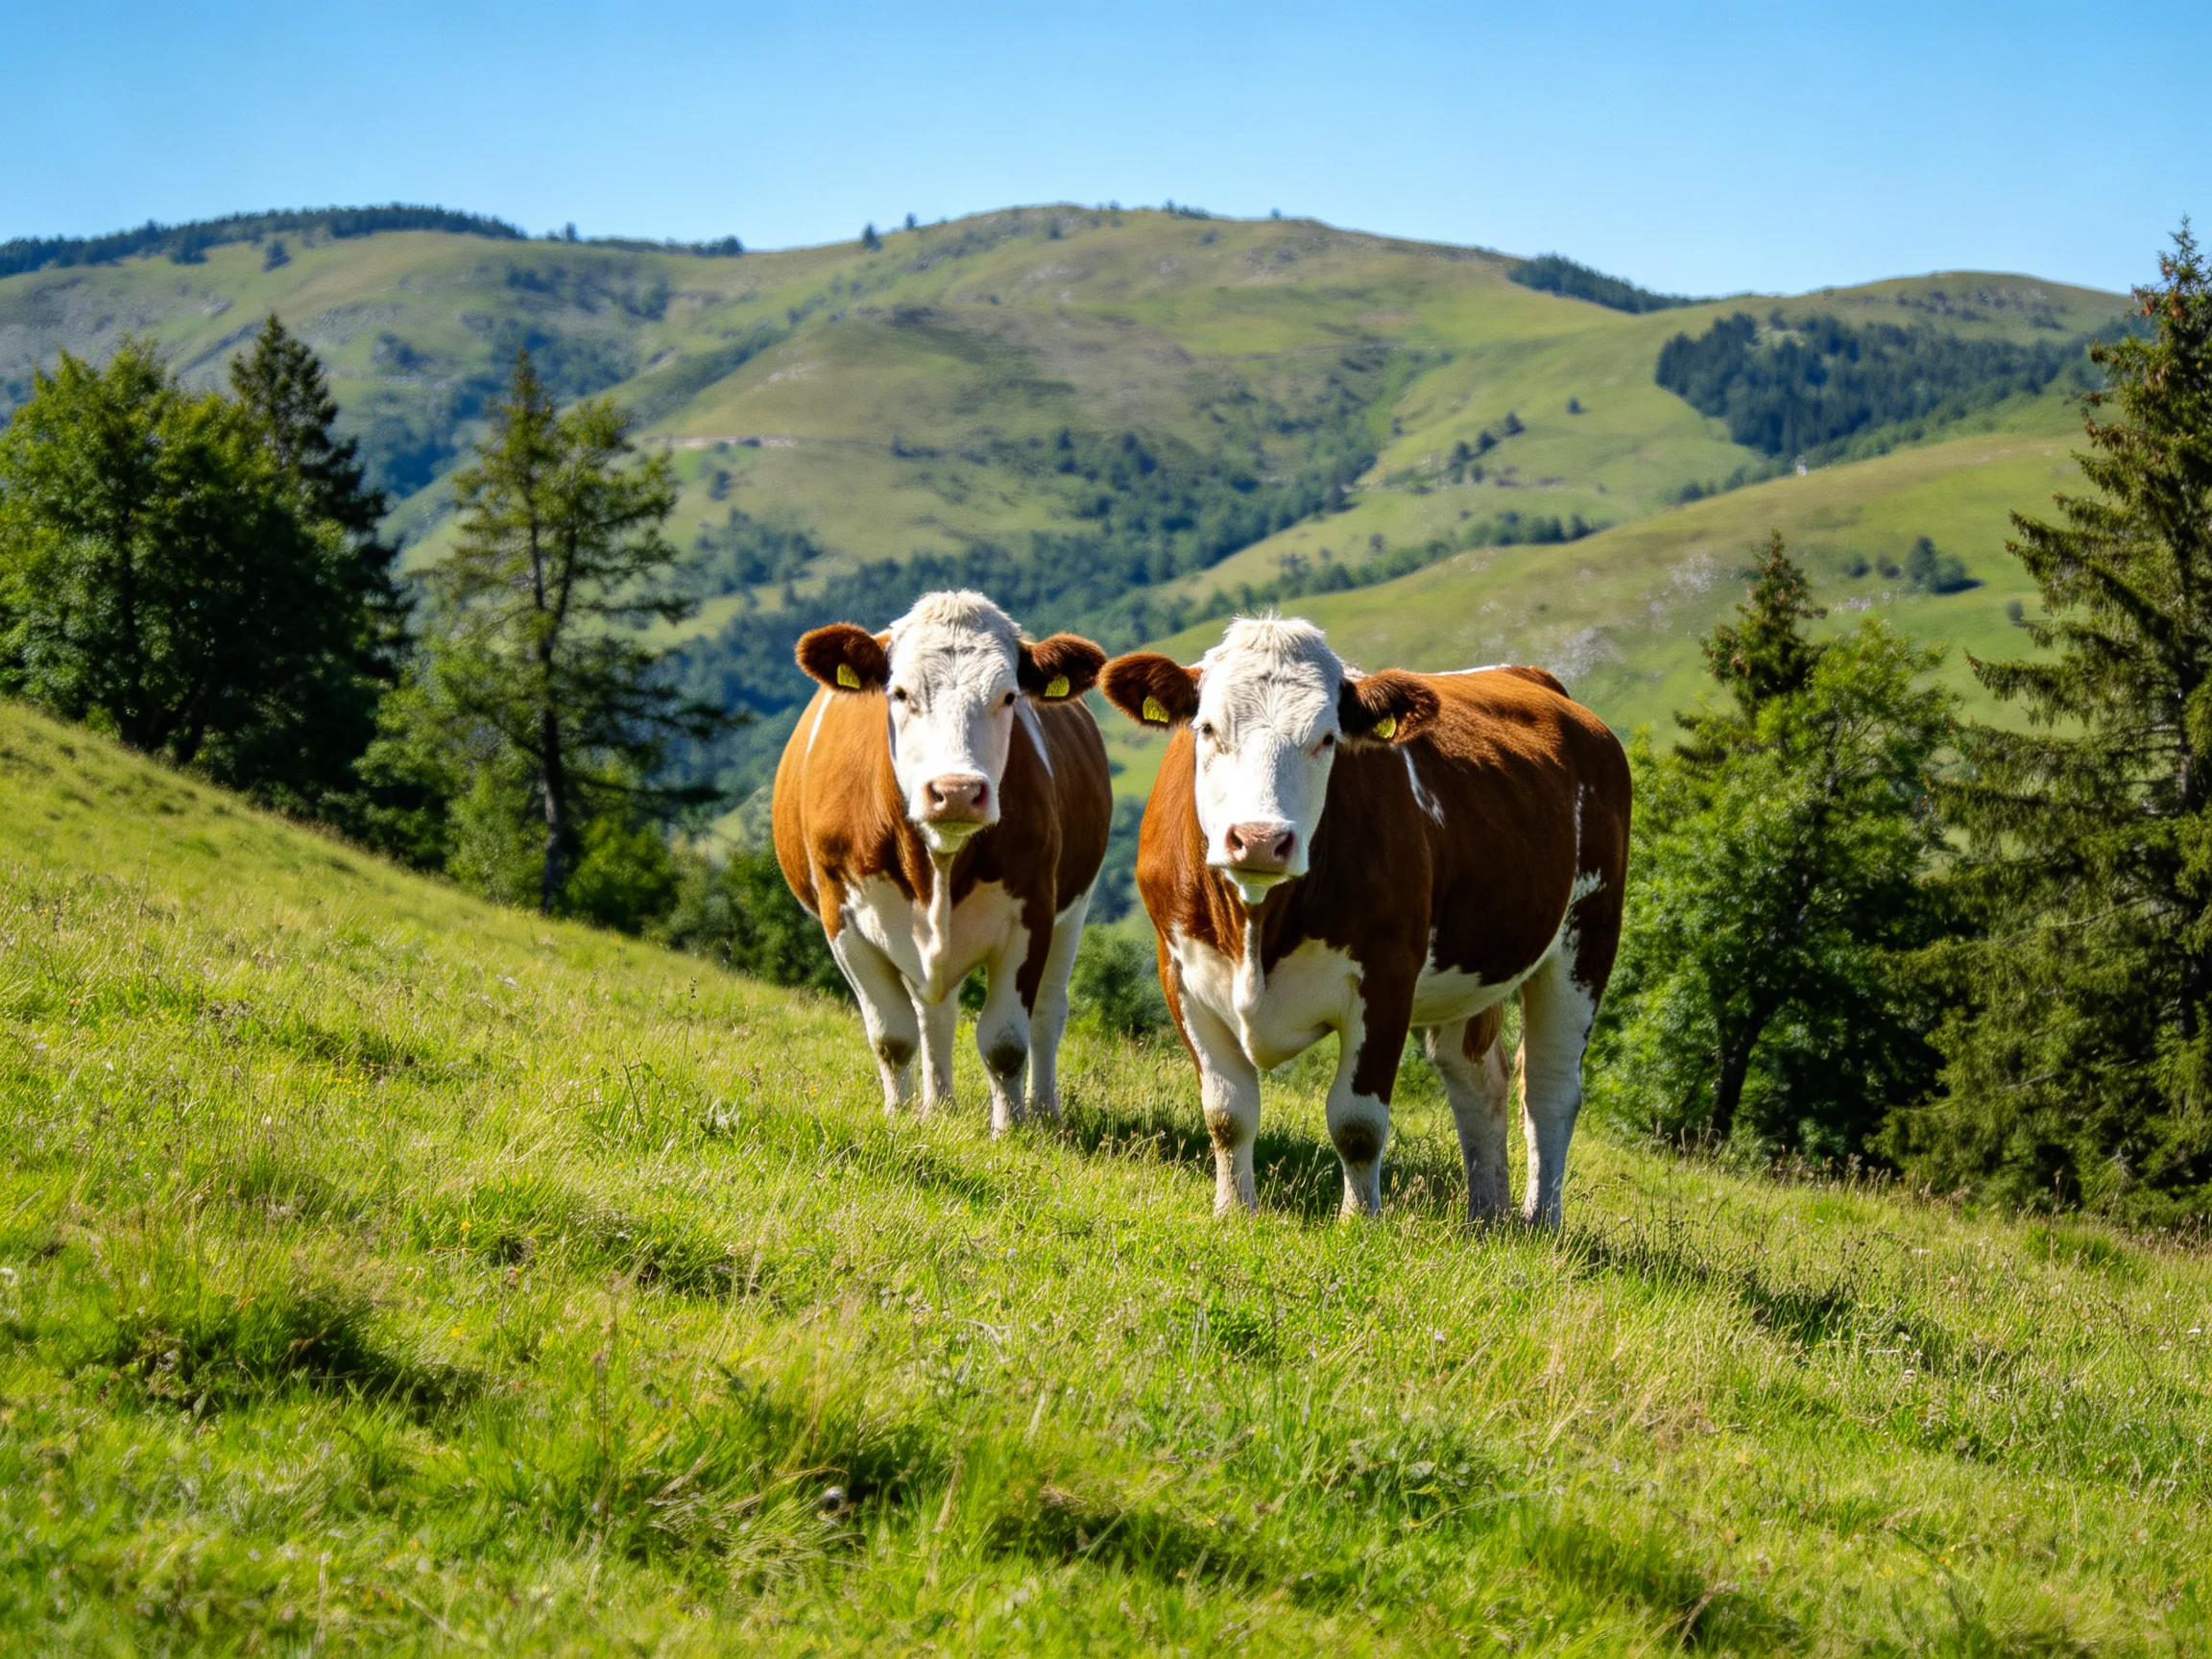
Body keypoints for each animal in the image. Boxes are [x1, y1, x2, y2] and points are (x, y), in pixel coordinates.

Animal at [773, 591, 1112, 1133]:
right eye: (900, 693)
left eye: (1009, 697)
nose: (956, 791)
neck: (937, 860)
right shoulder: (841, 918)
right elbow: (892, 1036)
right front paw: (899, 1115)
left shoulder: (1033, 912)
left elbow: (1005, 1042)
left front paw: (1010, 1130)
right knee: (934, 1012)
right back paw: (939, 1106)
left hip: (1073, 910)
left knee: (1047, 1013)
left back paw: (1043, 1111)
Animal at [1098, 616, 1630, 1225]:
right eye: (1207, 728)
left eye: (1327, 738)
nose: (1259, 839)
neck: (1256, 926)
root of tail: (1534, 679)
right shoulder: (1180, 973)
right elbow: (1227, 1112)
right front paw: (1234, 1211)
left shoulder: (1387, 977)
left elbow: (1356, 1123)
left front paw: (1360, 1221)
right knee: (1478, 1078)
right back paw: (1485, 1216)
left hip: (1586, 936)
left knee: (1548, 1088)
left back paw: (1540, 1220)